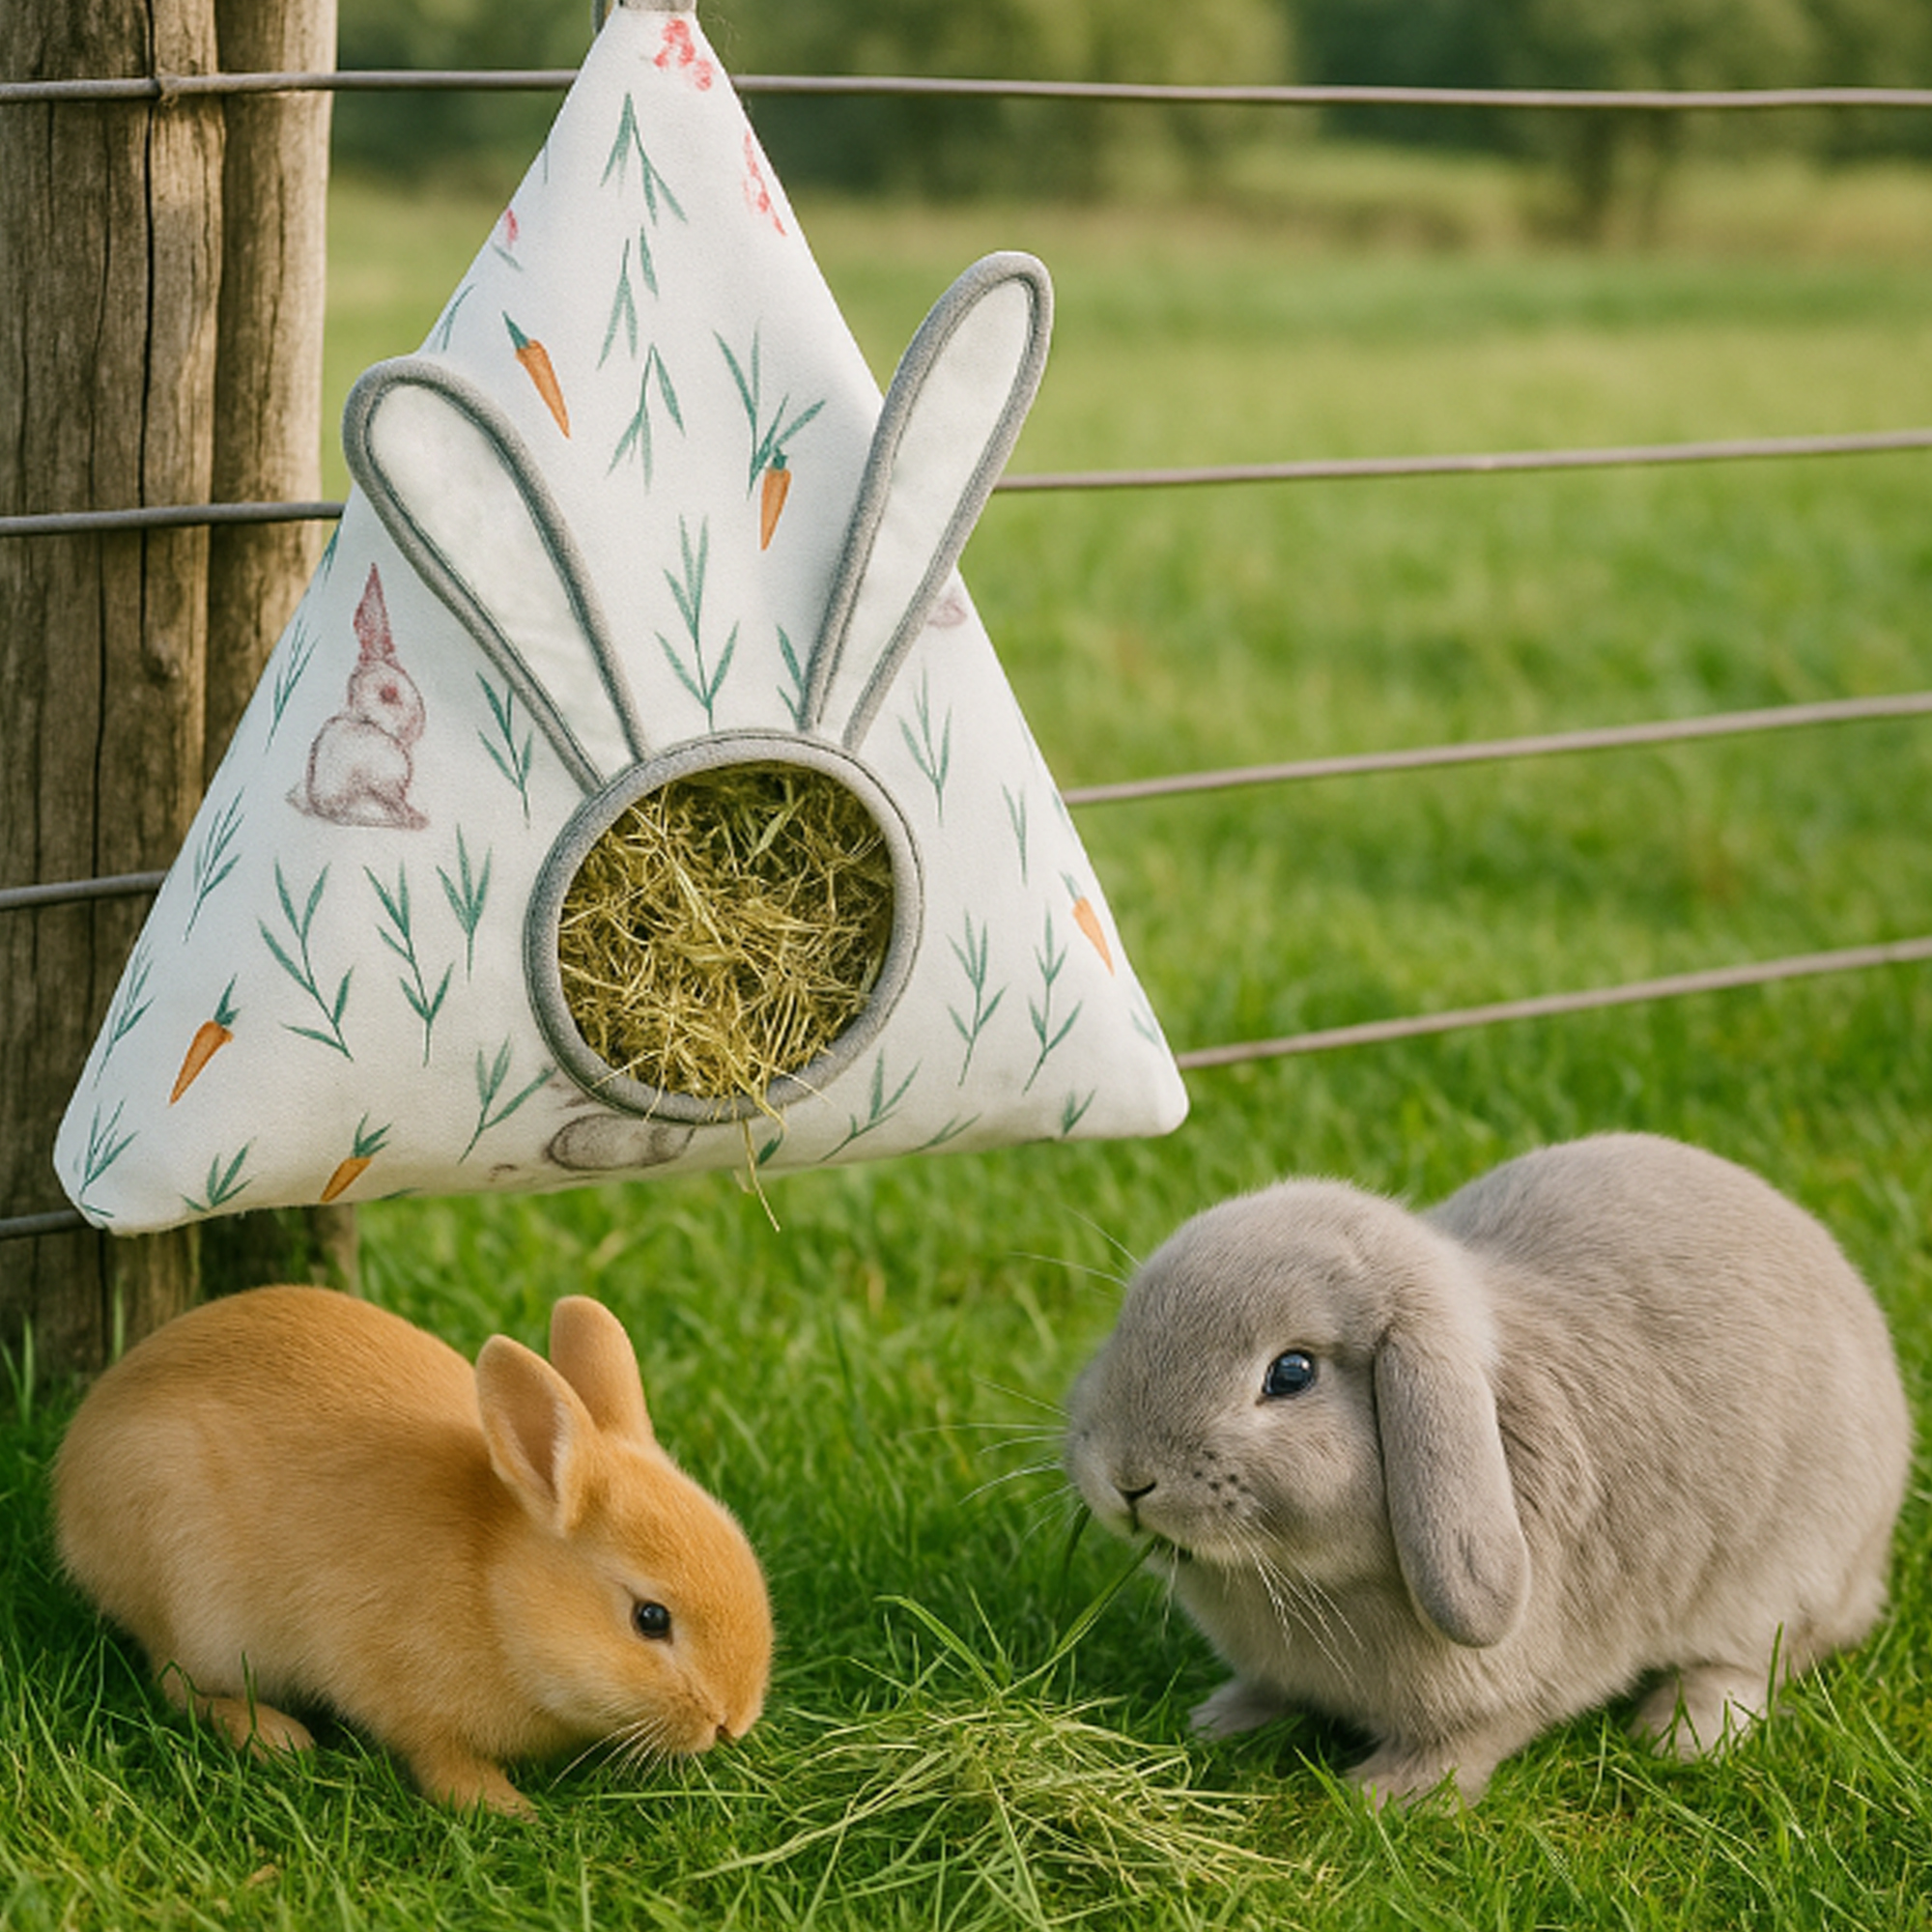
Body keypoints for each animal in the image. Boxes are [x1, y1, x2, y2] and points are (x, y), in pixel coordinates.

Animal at [54, 1285, 772, 1816]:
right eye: (650, 1619)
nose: (732, 1721)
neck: (494, 1591)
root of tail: (73, 1474)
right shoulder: (396, 1688)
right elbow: (435, 1755)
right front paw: (504, 1807)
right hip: (191, 1603)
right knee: (175, 1683)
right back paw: (277, 1737)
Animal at [290, 563, 428, 829]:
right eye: (388, 694)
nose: (415, 729)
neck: (367, 721)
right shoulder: (386, 784)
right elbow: (395, 803)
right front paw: (415, 818)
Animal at [1062, 1133, 1912, 1807]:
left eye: (1291, 1373)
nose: (1126, 1476)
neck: (1313, 1584)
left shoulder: (1501, 1680)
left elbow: (1470, 1738)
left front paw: (1385, 1799)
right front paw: (1217, 1724)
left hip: (1780, 1579)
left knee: (1756, 1660)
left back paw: (1679, 1734)